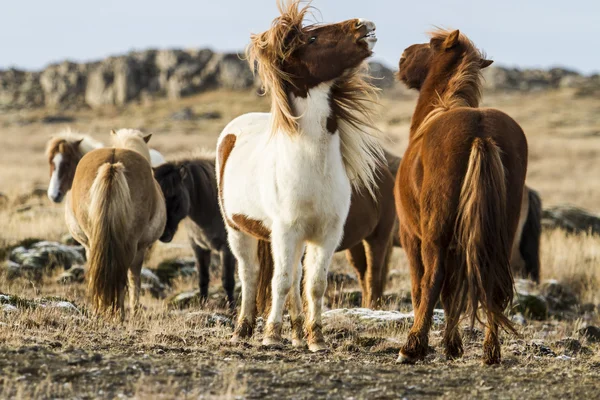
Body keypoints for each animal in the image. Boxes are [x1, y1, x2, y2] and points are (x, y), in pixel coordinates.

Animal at [64, 130, 166, 318]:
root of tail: (112, 164)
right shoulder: (140, 248)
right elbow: (134, 278)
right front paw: (135, 311)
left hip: (94, 243)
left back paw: (101, 309)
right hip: (129, 245)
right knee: (122, 274)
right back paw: (118, 313)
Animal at [152, 155, 237, 306]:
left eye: (175, 196)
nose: (163, 234)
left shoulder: (227, 249)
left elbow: (228, 281)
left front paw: (232, 308)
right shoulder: (199, 247)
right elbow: (203, 279)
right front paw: (202, 305)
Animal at [218, 0, 382, 350]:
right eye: (312, 39)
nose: (366, 25)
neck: (312, 164)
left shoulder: (326, 234)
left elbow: (314, 284)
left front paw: (315, 338)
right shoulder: (285, 231)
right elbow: (278, 282)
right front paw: (270, 336)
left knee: (294, 278)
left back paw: (295, 333)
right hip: (237, 230)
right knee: (250, 274)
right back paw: (243, 330)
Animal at [396, 29, 528, 364]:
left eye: (430, 45)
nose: (403, 55)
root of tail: (481, 133)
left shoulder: (410, 235)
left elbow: (423, 288)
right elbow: (452, 292)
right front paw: (452, 345)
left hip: (433, 236)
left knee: (432, 280)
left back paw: (411, 347)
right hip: (499, 233)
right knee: (493, 284)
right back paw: (491, 352)